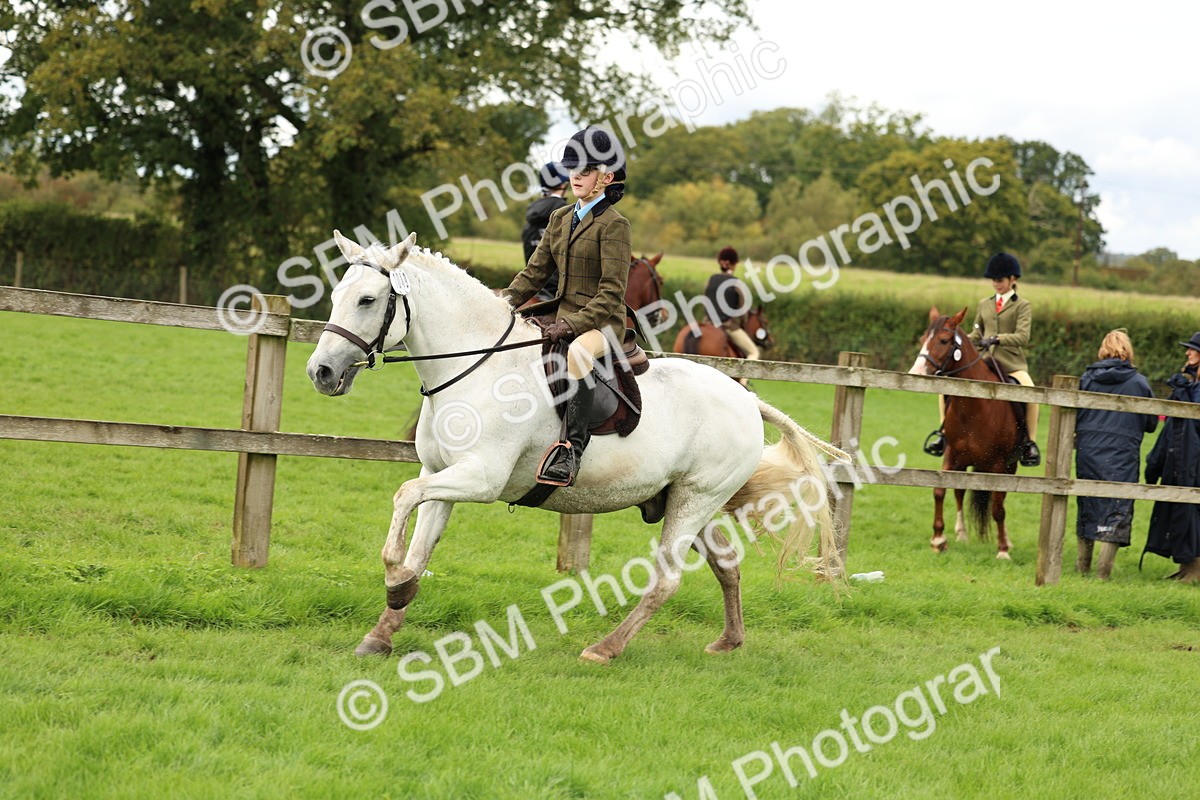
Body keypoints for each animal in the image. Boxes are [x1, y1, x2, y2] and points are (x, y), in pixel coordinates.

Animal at [307, 231, 847, 664]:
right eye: (338, 296)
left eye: (368, 300)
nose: (321, 373)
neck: (475, 366)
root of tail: (747, 398)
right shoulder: (440, 475)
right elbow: (418, 546)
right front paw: (383, 629)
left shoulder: (480, 478)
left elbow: (402, 497)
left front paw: (393, 577)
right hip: (689, 501)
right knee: (726, 565)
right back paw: (729, 641)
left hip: (695, 500)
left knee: (666, 580)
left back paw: (605, 648)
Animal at [907, 306, 1021, 559]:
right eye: (923, 339)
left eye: (943, 340)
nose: (916, 372)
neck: (975, 407)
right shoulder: (952, 454)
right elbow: (940, 491)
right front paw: (938, 539)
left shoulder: (999, 464)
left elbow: (997, 507)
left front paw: (1003, 549)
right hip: (965, 462)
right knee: (960, 493)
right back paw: (961, 533)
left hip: (1007, 467)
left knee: (1001, 500)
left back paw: (1007, 540)